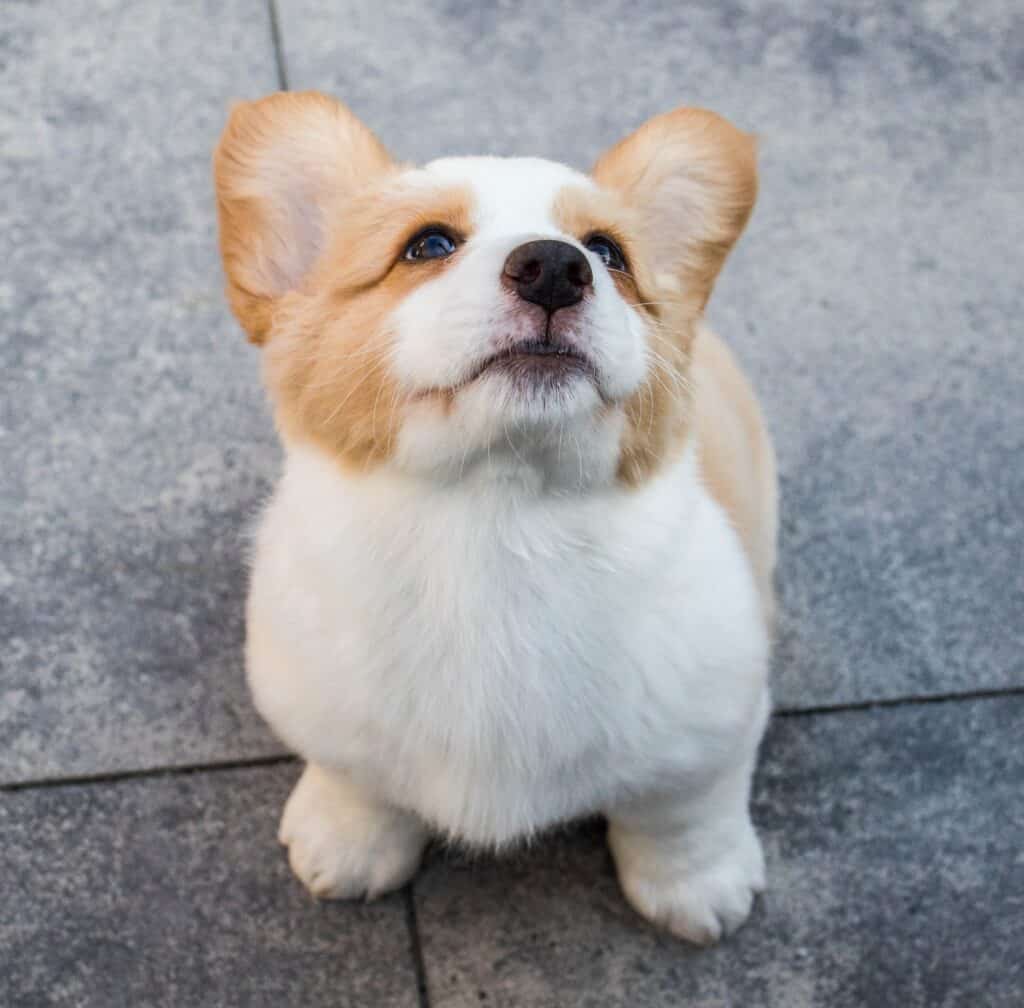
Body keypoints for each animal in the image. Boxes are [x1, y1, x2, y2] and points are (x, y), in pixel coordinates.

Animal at [214, 92, 774, 946]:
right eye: (427, 245)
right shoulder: (326, 710)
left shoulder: (711, 729)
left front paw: (697, 889)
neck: (496, 520)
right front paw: (347, 844)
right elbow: (360, 782)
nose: (555, 267)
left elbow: (679, 816)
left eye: (609, 253)